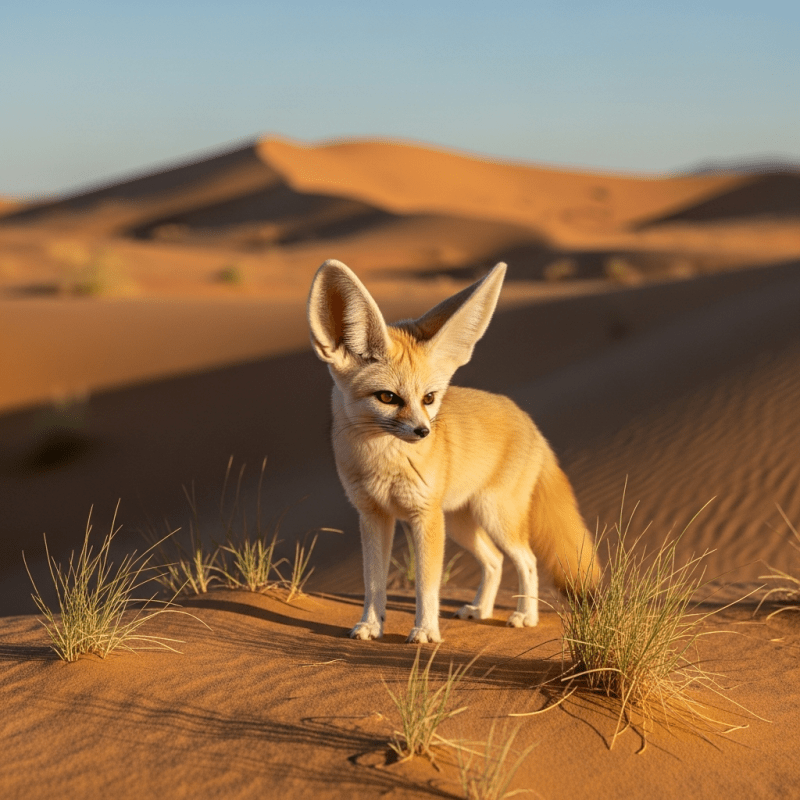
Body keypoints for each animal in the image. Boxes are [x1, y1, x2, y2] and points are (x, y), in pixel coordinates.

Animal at [307, 258, 600, 643]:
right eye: (388, 397)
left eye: (429, 398)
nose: (423, 432)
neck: (383, 463)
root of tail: (525, 416)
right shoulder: (373, 515)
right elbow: (373, 583)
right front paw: (370, 625)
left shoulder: (425, 517)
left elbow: (427, 585)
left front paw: (425, 631)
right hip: (463, 524)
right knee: (495, 561)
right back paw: (481, 610)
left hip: (495, 517)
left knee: (527, 560)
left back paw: (526, 616)